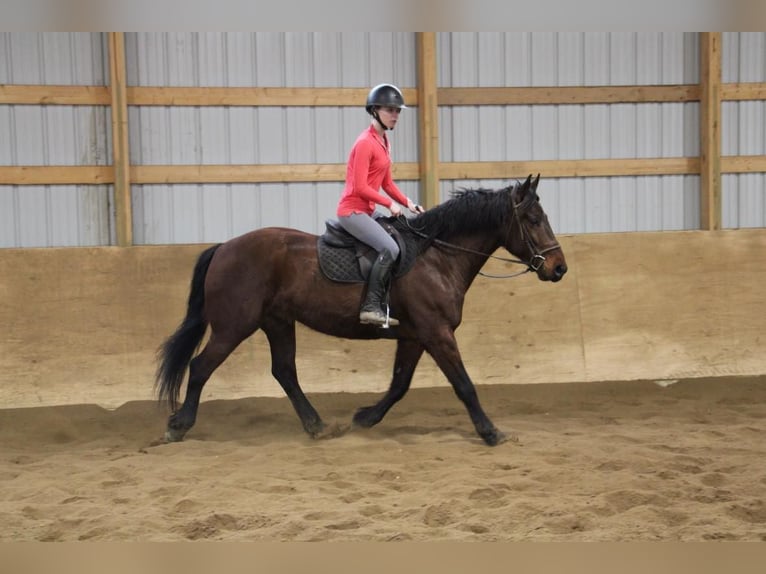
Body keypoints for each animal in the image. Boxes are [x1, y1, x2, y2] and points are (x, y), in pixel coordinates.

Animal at [153, 173, 568, 448]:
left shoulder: (416, 336)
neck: (437, 257)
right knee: (201, 366)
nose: (558, 268)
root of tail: (224, 247)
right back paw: (178, 426)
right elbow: (463, 384)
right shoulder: (437, 333)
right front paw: (491, 432)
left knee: (284, 371)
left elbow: (399, 385)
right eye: (533, 220)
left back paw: (317, 426)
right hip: (234, 325)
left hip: (277, 321)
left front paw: (364, 417)